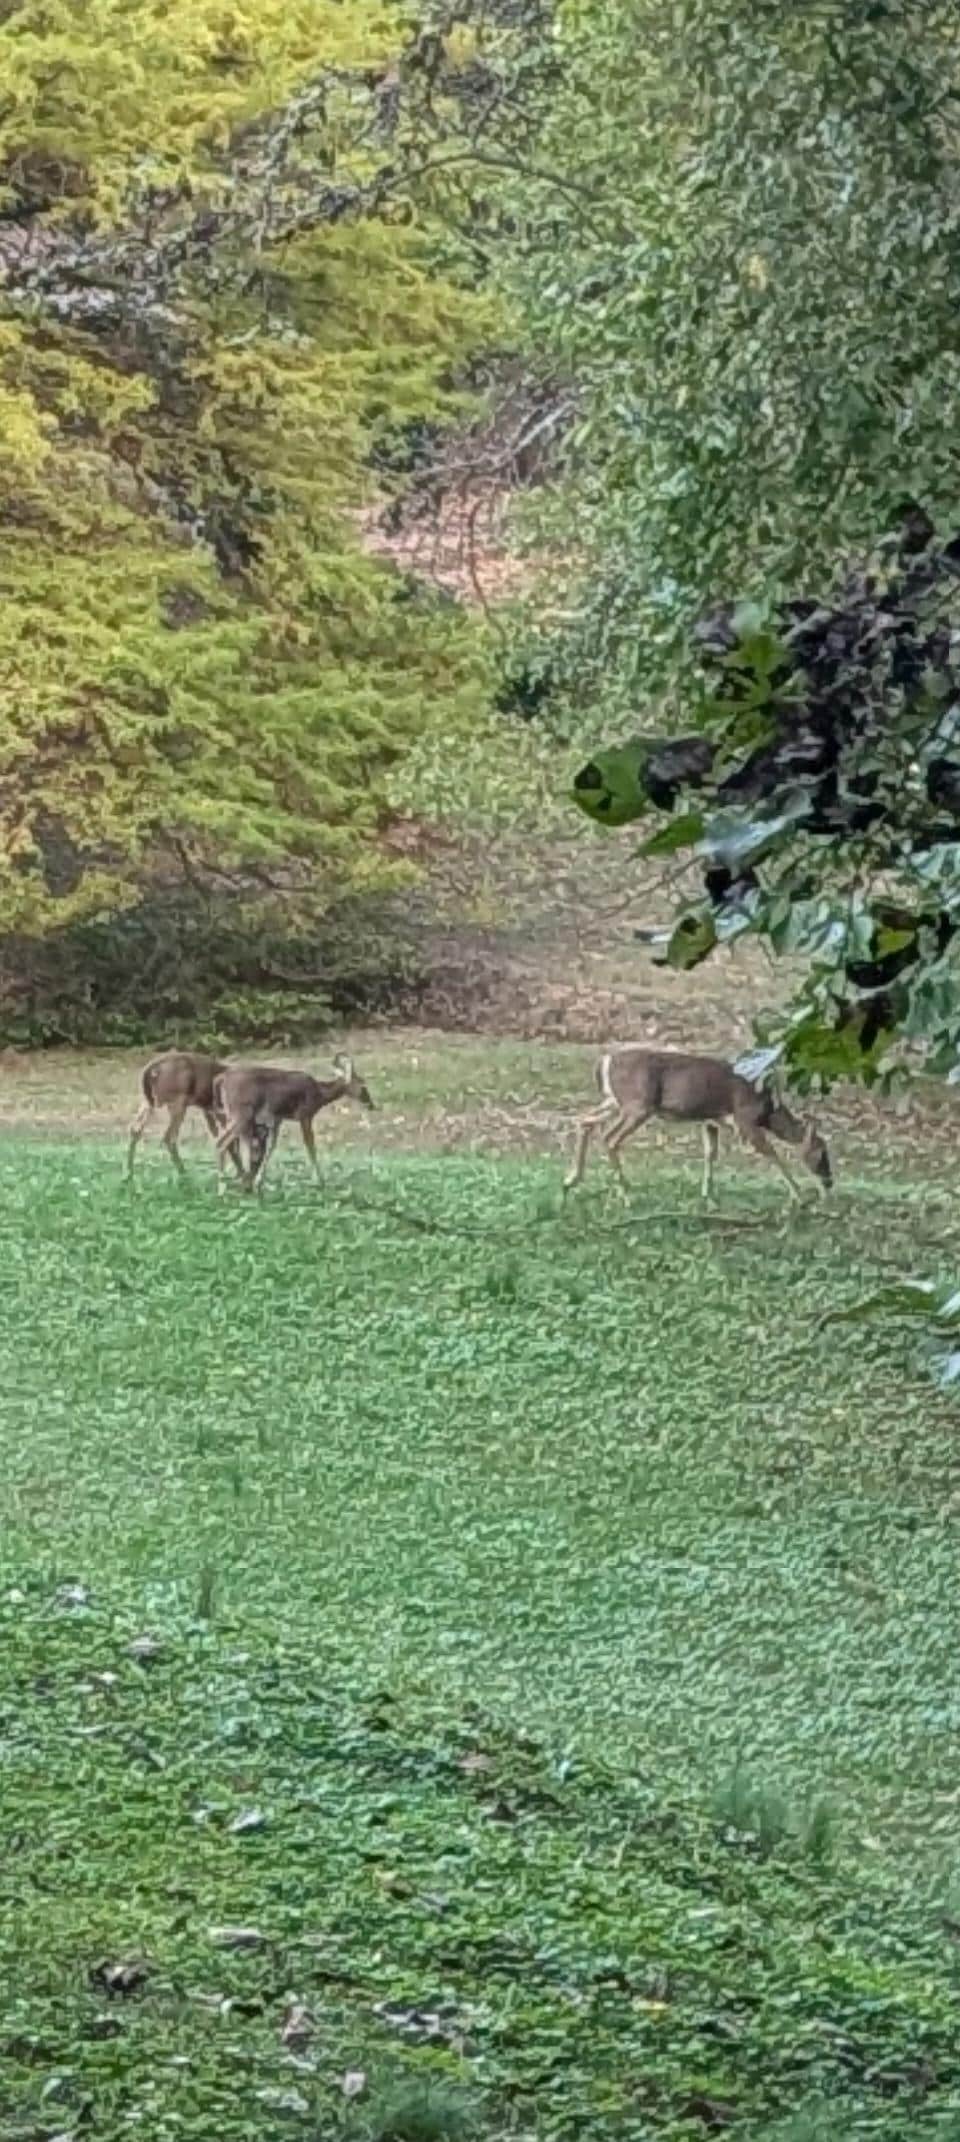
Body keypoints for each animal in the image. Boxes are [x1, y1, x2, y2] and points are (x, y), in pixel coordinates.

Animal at [127, 1050, 246, 1181]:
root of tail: (151, 1069)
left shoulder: (209, 1110)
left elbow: (220, 1137)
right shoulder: (221, 1111)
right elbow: (230, 1141)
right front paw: (240, 1171)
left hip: (150, 1100)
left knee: (135, 1129)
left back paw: (129, 1172)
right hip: (178, 1100)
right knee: (169, 1137)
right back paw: (183, 1172)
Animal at [213, 1054, 374, 1192]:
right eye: (363, 1085)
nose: (371, 1105)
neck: (319, 1094)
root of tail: (222, 1079)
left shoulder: (277, 1119)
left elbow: (271, 1147)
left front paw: (259, 1182)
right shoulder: (305, 1115)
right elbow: (310, 1147)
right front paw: (320, 1181)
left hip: (233, 1115)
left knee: (224, 1140)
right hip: (241, 1115)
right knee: (222, 1142)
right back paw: (223, 1187)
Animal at [562, 1047, 832, 1205]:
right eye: (820, 1151)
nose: (829, 1182)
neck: (768, 1111)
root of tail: (604, 1062)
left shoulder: (711, 1120)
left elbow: (710, 1153)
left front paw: (708, 1195)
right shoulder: (744, 1119)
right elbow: (771, 1153)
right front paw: (799, 1196)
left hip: (615, 1102)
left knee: (584, 1120)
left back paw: (571, 1180)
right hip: (637, 1105)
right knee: (610, 1138)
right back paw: (626, 1194)